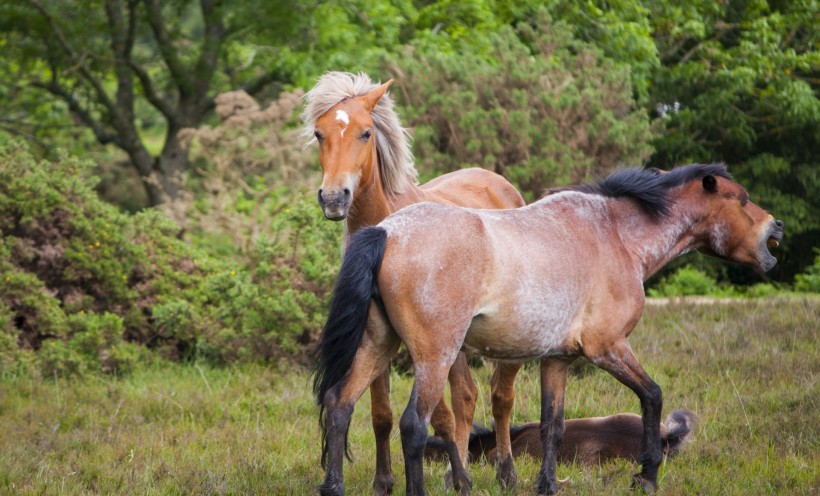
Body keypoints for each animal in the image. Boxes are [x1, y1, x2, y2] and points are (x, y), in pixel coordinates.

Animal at [302, 70, 524, 496]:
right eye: (320, 134)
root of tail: (498, 182)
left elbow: (438, 414)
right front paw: (383, 480)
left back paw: (502, 472)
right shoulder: (378, 339)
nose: (334, 198)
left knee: (497, 397)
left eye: (366, 133)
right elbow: (381, 413)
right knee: (467, 396)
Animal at [314, 164, 780, 496]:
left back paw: (334, 487)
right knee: (413, 424)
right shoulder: (608, 347)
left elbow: (551, 426)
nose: (776, 227)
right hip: (434, 357)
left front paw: (548, 485)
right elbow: (652, 396)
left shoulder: (557, 359)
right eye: (742, 200)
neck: (614, 235)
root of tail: (386, 231)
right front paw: (647, 475)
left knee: (339, 406)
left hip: (377, 346)